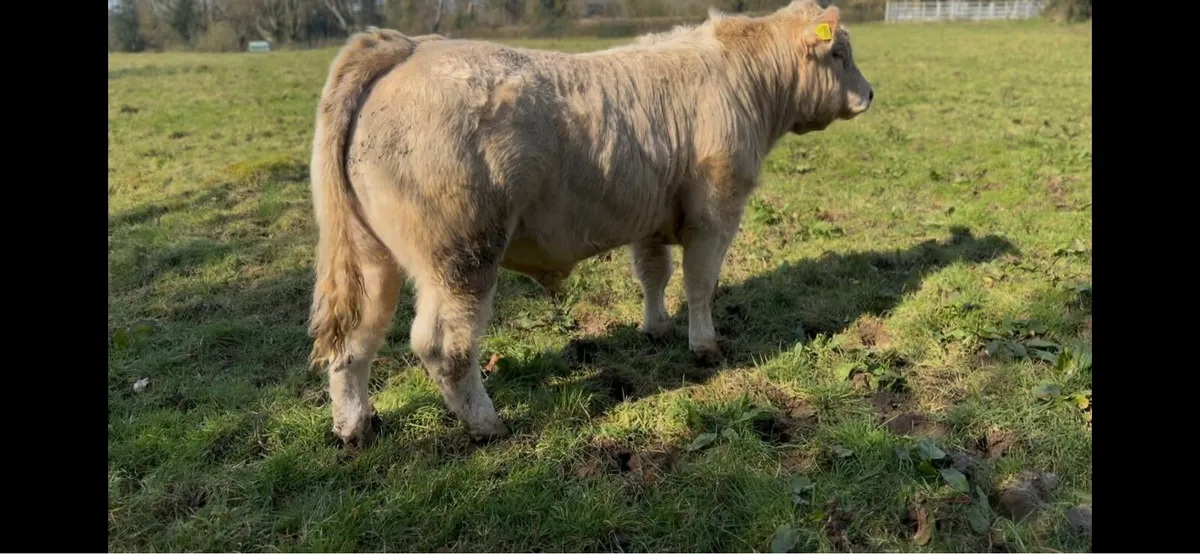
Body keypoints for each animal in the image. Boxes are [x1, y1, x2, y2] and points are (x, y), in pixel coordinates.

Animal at [306, 0, 873, 446]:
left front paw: (657, 328)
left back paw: (355, 427)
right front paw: (705, 346)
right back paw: (487, 424)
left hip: (371, 257)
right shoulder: (715, 212)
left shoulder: (650, 217)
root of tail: (407, 46)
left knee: (354, 341)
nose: (869, 94)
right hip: (462, 256)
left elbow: (654, 275)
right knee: (444, 347)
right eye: (839, 55)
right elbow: (700, 284)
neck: (745, 79)